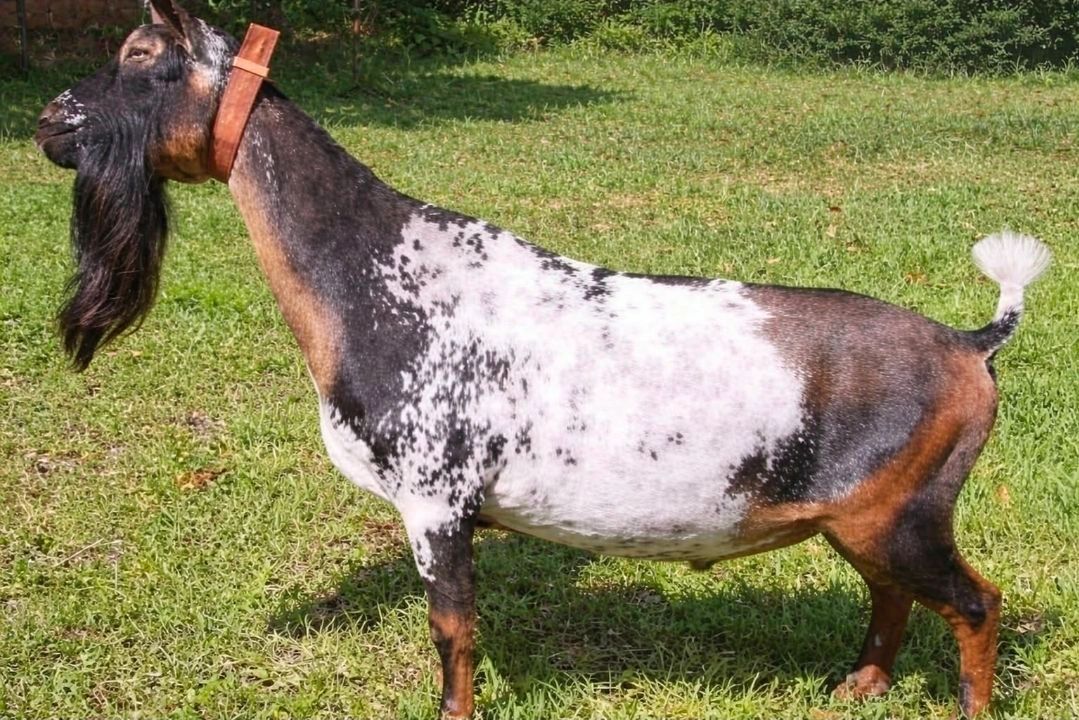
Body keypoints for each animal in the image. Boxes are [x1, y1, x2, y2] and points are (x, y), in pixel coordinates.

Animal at [35, 1, 1051, 716]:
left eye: (141, 56)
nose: (48, 120)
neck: (373, 271)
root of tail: (971, 343)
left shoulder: (434, 497)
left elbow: (452, 629)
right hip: (862, 514)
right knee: (894, 595)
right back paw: (856, 688)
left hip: (903, 510)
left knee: (974, 603)